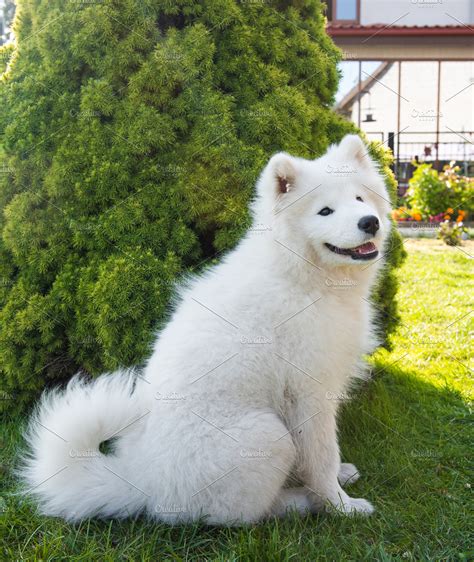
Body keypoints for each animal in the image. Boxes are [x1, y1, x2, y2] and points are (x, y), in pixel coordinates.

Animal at [20, 133, 392, 524]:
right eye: (325, 211)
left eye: (359, 198)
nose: (369, 222)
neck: (300, 277)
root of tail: (143, 481)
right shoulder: (309, 394)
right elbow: (322, 458)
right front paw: (340, 506)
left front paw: (340, 484)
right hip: (268, 435)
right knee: (244, 514)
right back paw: (300, 503)